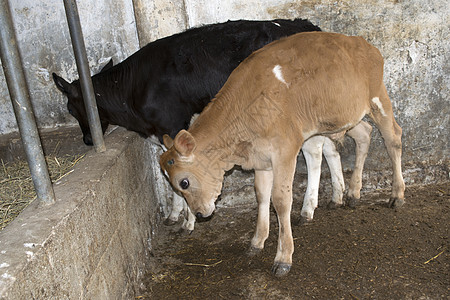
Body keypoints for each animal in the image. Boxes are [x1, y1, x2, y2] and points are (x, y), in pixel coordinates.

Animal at [159, 31, 404, 276]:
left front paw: (283, 257)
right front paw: (257, 241)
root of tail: (362, 42)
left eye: (184, 182)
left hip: (377, 98)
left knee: (393, 138)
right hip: (346, 115)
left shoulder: (285, 151)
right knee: (364, 134)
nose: (199, 214)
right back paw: (353, 193)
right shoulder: (261, 157)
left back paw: (397, 195)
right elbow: (261, 195)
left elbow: (281, 199)